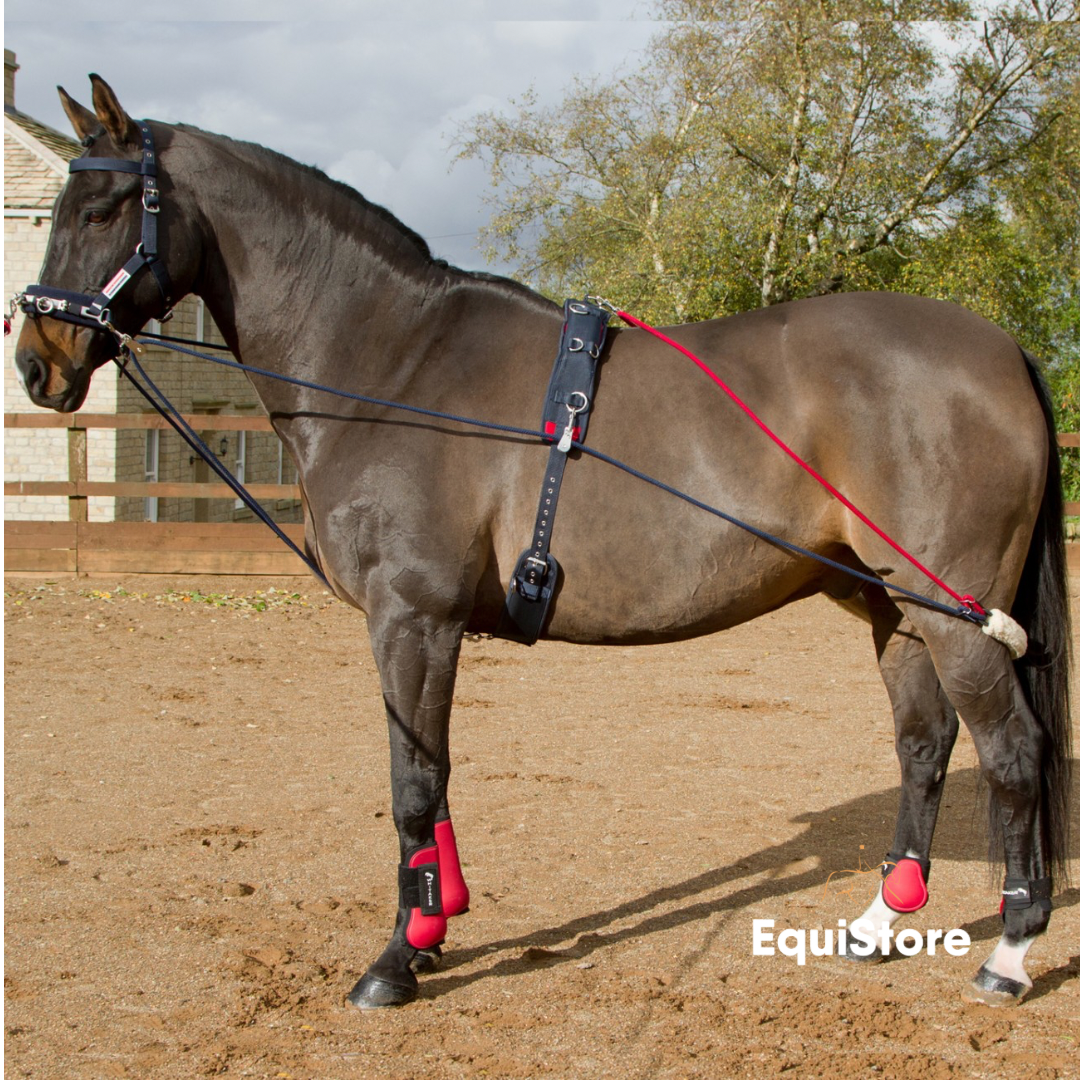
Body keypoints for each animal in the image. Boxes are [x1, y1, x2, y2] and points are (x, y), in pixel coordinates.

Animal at [12, 78, 1067, 1010]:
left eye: (103, 207)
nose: (36, 361)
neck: (394, 364)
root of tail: (1003, 350)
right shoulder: (425, 626)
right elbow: (431, 774)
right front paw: (435, 925)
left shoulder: (411, 616)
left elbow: (411, 784)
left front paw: (397, 960)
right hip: (896, 608)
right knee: (925, 748)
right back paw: (882, 923)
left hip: (957, 617)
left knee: (1014, 753)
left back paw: (1010, 953)